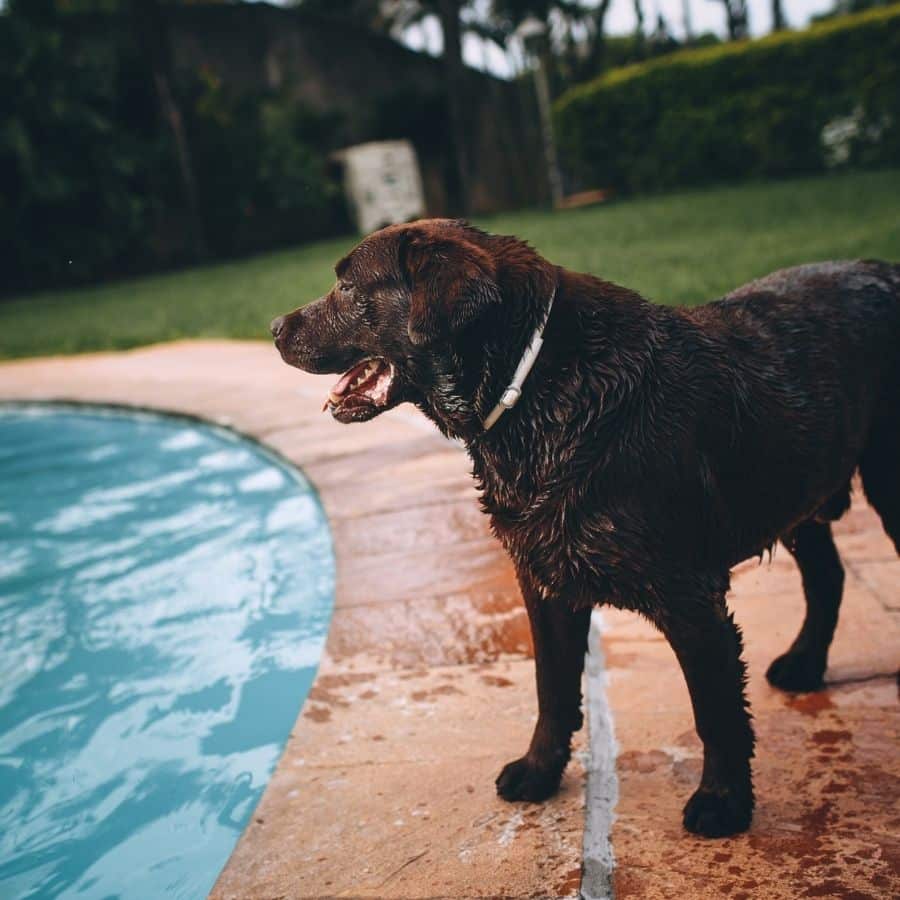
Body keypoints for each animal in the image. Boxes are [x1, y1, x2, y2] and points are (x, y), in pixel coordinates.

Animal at [272, 218, 900, 836]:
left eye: (347, 287)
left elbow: (715, 711)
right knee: (827, 576)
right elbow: (551, 689)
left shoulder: (691, 597)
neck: (535, 389)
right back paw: (805, 664)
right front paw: (539, 772)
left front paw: (723, 802)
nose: (275, 327)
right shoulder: (544, 581)